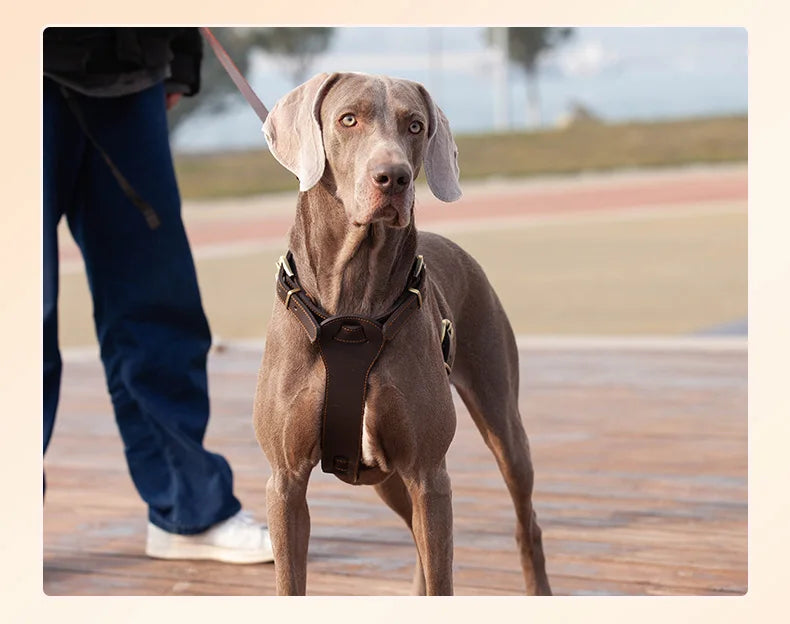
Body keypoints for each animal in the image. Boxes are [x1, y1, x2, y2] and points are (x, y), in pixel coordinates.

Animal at [254, 72, 552, 596]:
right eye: (347, 119)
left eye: (415, 125)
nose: (393, 177)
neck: (352, 310)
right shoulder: (285, 481)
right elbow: (290, 580)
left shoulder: (429, 473)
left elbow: (442, 576)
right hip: (383, 476)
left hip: (501, 422)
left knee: (525, 520)